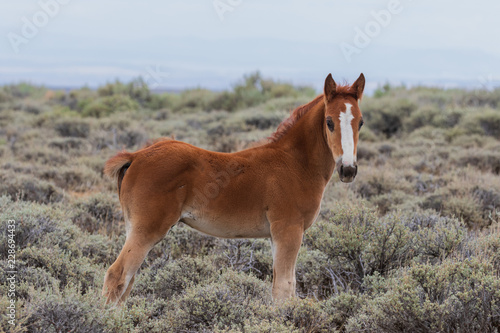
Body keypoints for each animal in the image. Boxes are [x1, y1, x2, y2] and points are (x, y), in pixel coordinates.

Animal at [102, 73, 368, 304]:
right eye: (329, 122)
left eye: (361, 122)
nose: (348, 170)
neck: (295, 163)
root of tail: (136, 156)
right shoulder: (289, 230)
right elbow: (284, 288)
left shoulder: (276, 235)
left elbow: (282, 285)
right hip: (146, 230)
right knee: (117, 275)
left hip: (134, 228)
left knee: (127, 281)